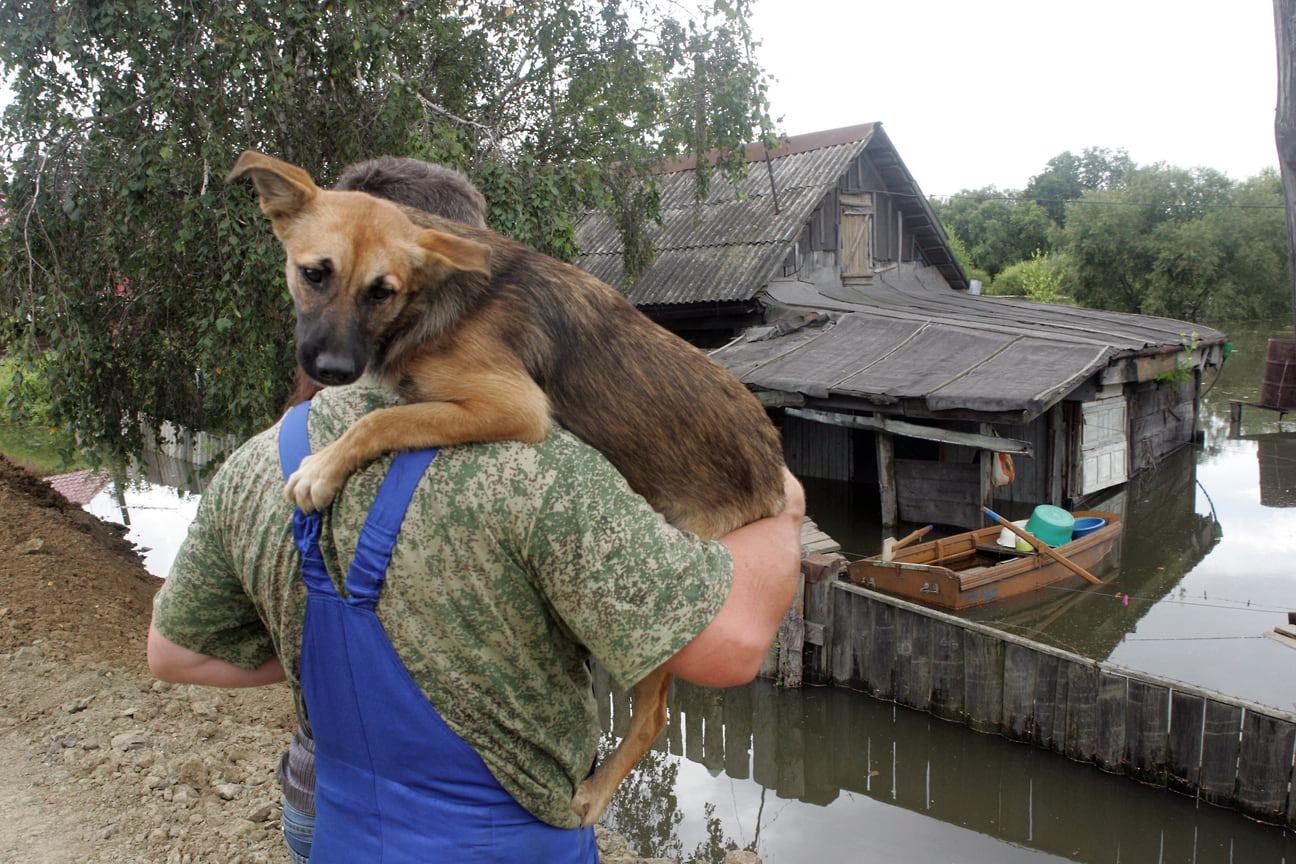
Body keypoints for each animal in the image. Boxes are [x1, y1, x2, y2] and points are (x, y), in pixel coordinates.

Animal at [228, 152, 782, 829]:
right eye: (313, 274)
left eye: (381, 291)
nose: (331, 371)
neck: (431, 300)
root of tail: (774, 465)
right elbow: (386, 413)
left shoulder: (513, 406)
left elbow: (381, 419)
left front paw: (322, 467)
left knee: (651, 715)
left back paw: (596, 792)